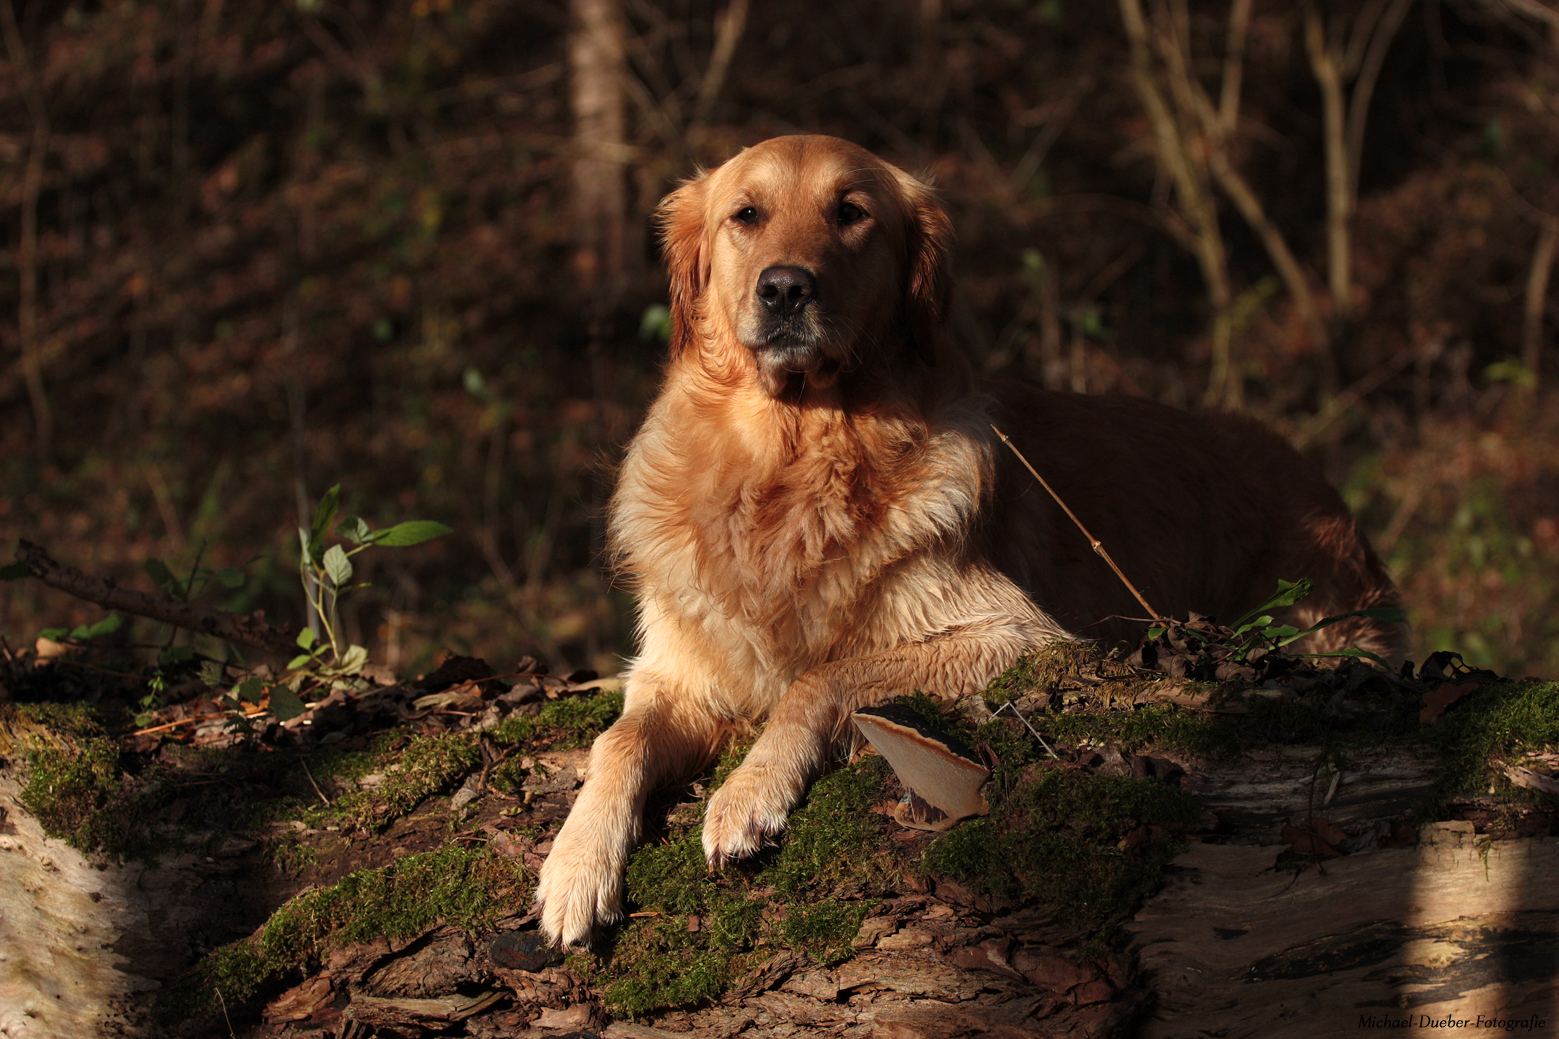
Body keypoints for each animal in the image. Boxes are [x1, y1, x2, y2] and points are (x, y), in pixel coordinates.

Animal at [533, 131, 1403, 948]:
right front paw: (574, 864)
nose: (784, 289)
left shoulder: (1016, 632)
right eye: (745, 214)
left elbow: (819, 677)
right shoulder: (676, 671)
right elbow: (617, 740)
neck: (792, 457)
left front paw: (747, 793)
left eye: (850, 212)